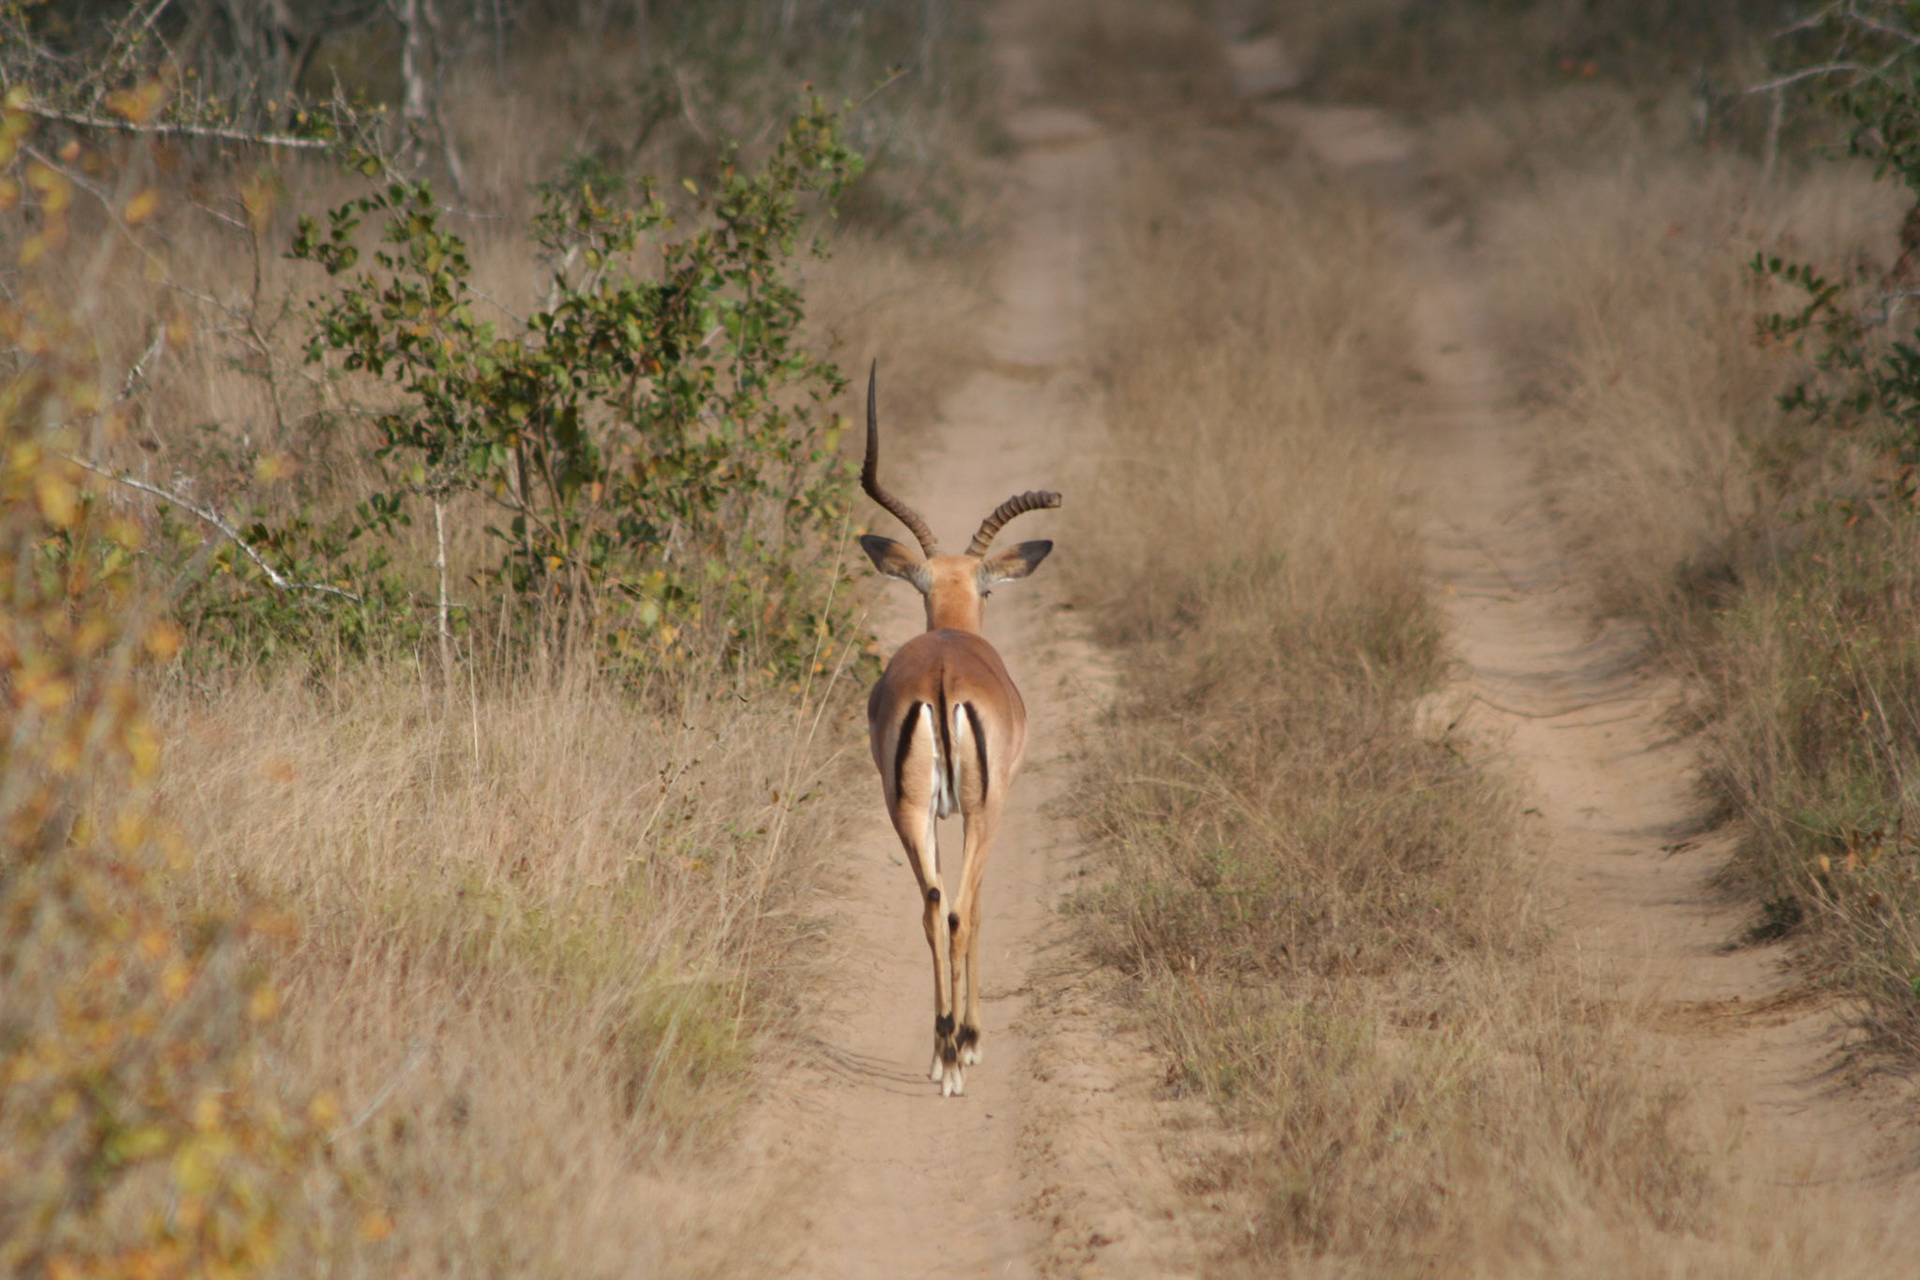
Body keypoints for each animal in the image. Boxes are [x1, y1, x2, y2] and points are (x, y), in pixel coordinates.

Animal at [858, 364, 1059, 1098]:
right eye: (987, 587)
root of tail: (943, 670)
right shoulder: (991, 805)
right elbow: (978, 907)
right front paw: (971, 1042)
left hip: (907, 807)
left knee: (931, 904)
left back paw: (939, 1047)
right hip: (978, 808)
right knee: (957, 909)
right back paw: (957, 1053)